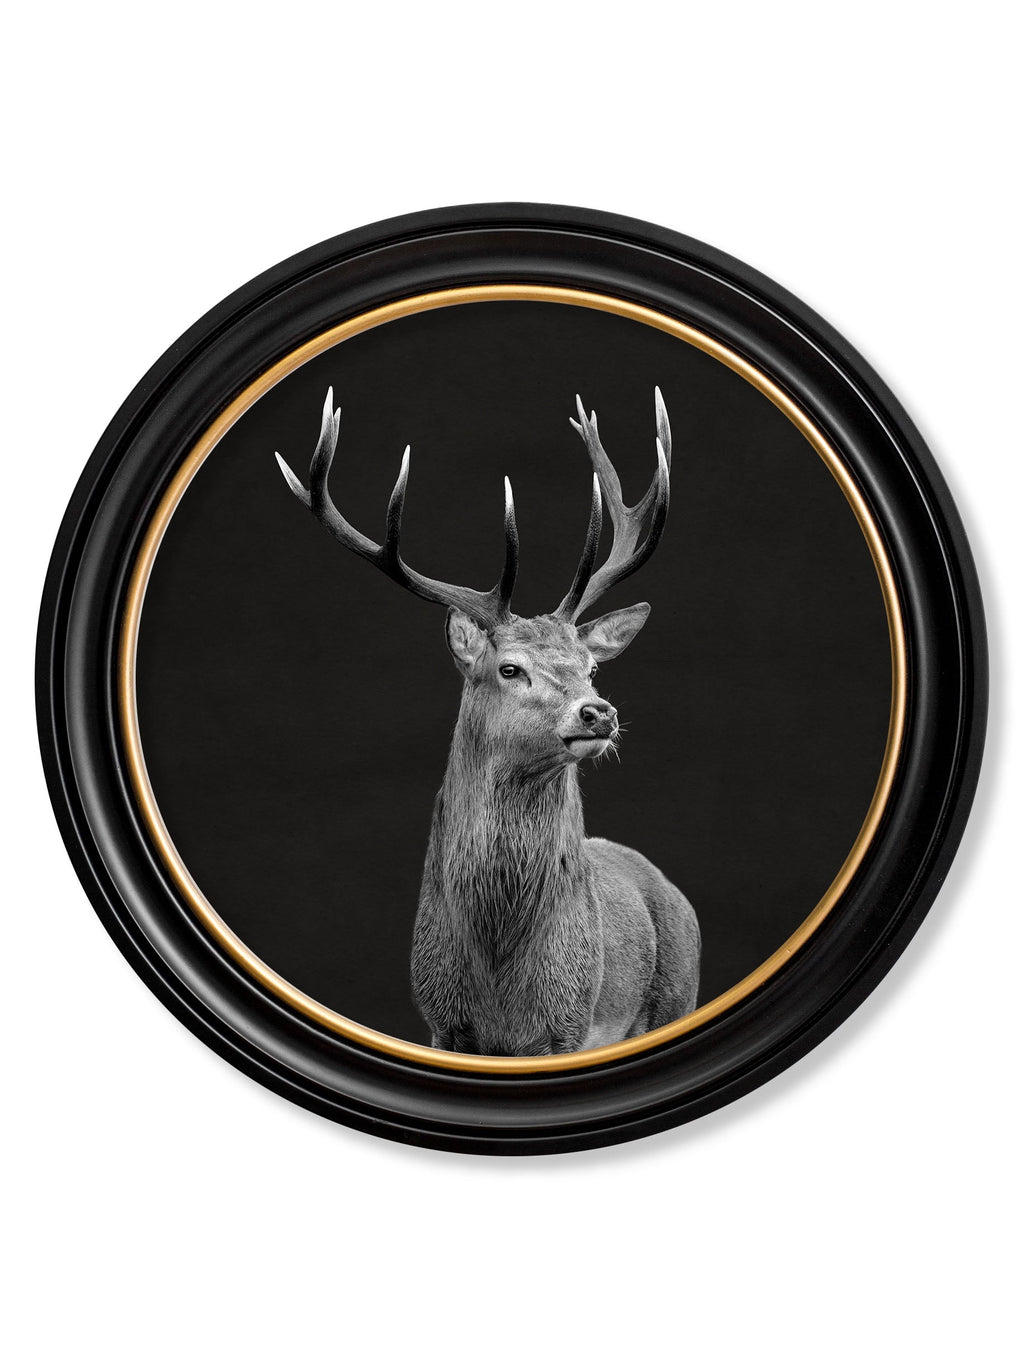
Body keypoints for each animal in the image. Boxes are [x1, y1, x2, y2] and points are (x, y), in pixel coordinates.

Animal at [276, 387, 700, 1056]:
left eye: (590, 668)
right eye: (509, 668)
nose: (598, 712)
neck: (500, 980)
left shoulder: (567, 1024)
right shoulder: (439, 1018)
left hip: (675, 997)